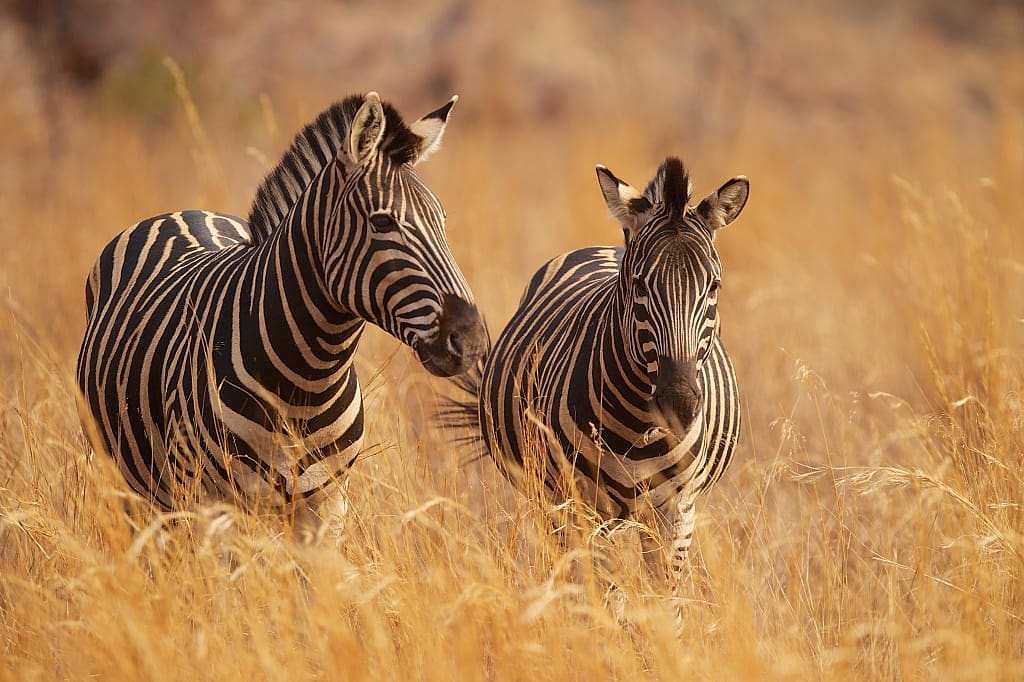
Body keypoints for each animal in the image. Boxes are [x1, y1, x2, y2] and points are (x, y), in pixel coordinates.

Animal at [76, 92, 487, 533]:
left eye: (442, 221)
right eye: (381, 222)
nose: (471, 339)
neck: (306, 382)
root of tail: (180, 213)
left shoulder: (326, 506)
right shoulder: (212, 504)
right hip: (136, 487)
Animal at [443, 157, 748, 580]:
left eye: (714, 286)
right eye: (640, 285)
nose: (679, 404)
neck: (641, 427)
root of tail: (607, 248)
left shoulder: (677, 513)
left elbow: (664, 596)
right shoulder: (583, 508)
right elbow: (603, 590)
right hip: (551, 500)